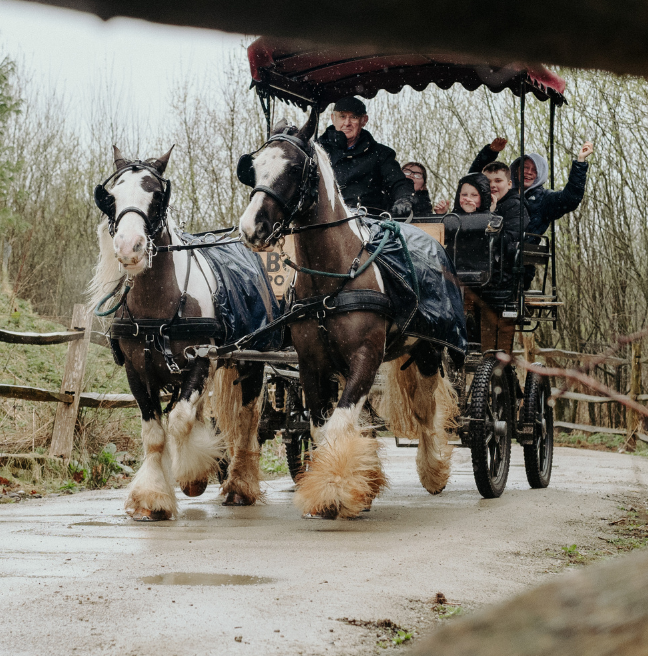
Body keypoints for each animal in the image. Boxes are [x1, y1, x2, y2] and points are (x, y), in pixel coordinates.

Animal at [90, 146, 268, 521]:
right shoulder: (136, 371)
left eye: (157, 196)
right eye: (111, 197)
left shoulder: (200, 361)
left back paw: (240, 485)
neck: (157, 308)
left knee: (247, 419)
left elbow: (180, 420)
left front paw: (192, 477)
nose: (128, 247)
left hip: (252, 361)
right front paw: (152, 498)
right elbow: (155, 433)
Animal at [238, 111, 463, 519]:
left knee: (426, 412)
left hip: (427, 351)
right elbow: (320, 427)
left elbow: (339, 425)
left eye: (294, 168)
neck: (332, 280)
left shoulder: (366, 358)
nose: (251, 227)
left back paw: (433, 470)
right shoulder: (311, 364)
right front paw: (348, 485)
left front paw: (336, 489)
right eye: (255, 167)